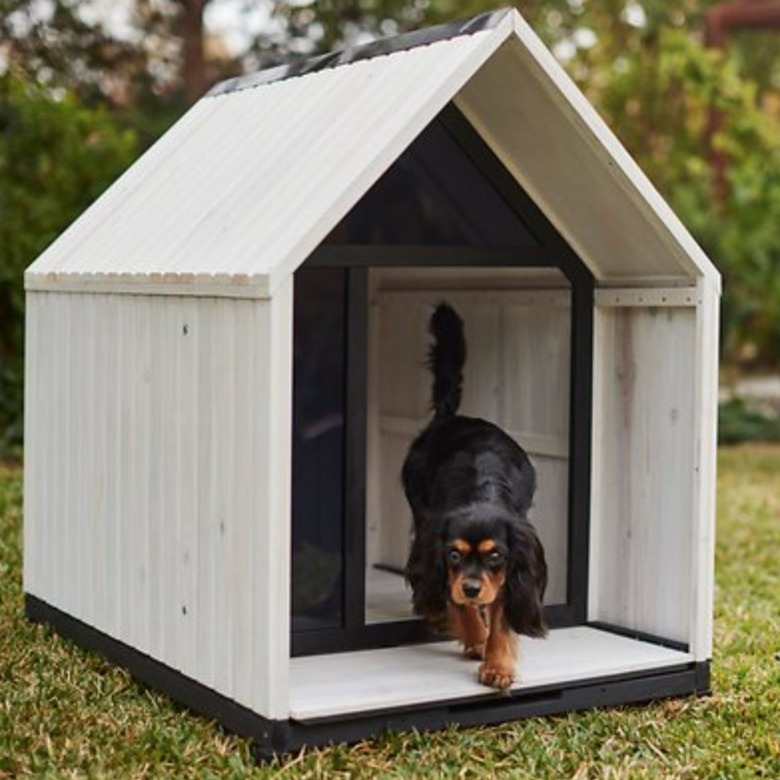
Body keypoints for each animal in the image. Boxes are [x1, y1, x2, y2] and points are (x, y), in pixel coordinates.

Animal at [402, 302, 548, 692]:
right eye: (454, 554)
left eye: (495, 555)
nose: (470, 587)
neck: (481, 493)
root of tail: (447, 419)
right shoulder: (436, 545)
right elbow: (457, 600)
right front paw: (475, 637)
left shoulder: (513, 568)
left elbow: (501, 615)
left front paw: (497, 665)